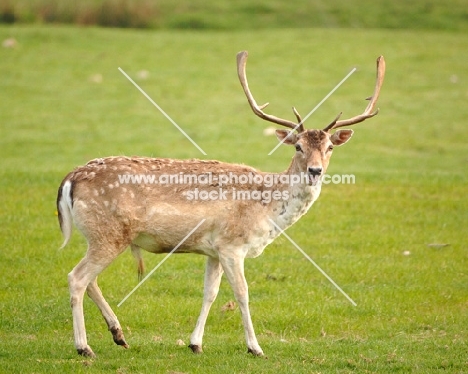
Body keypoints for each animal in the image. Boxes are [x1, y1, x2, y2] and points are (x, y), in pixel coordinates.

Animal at [57, 50, 384, 356]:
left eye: (329, 147)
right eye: (298, 146)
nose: (315, 171)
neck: (267, 209)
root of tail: (70, 179)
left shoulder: (212, 250)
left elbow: (210, 293)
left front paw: (195, 344)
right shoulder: (232, 245)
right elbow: (242, 293)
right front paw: (255, 347)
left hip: (99, 235)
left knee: (90, 280)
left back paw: (119, 335)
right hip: (108, 233)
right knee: (77, 278)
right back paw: (84, 347)